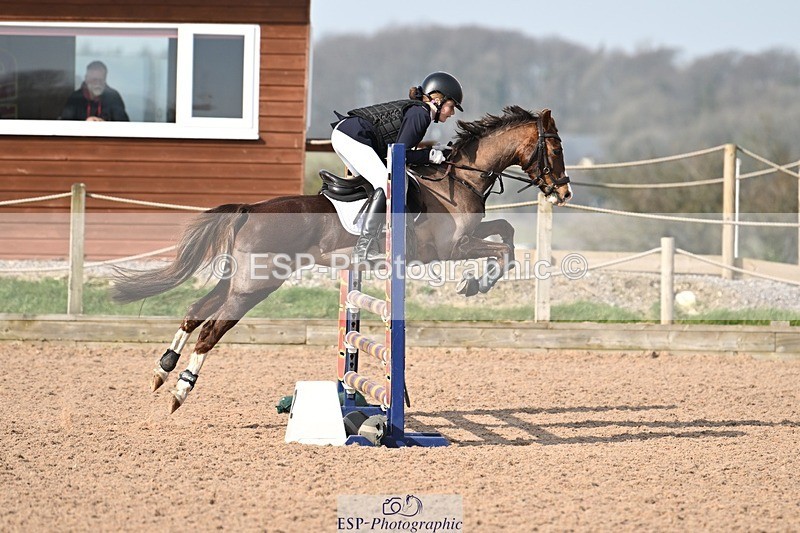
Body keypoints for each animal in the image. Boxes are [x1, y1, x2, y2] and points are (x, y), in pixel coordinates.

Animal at [111, 106, 572, 413]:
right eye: (555, 147)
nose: (565, 192)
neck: (458, 180)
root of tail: (250, 209)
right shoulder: (450, 250)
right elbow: (503, 248)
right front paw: (476, 283)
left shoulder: (470, 236)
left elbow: (507, 232)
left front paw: (479, 280)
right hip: (256, 285)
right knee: (210, 330)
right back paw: (180, 390)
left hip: (239, 279)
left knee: (194, 311)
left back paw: (162, 370)